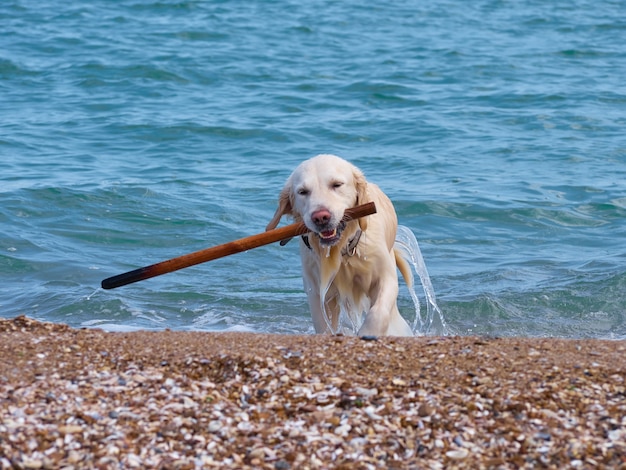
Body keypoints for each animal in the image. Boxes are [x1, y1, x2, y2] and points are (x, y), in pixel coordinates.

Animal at [266, 156, 412, 336]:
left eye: (336, 185)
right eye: (303, 192)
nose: (320, 217)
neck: (342, 250)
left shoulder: (385, 276)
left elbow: (378, 312)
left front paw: (367, 333)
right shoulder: (317, 291)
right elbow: (323, 325)